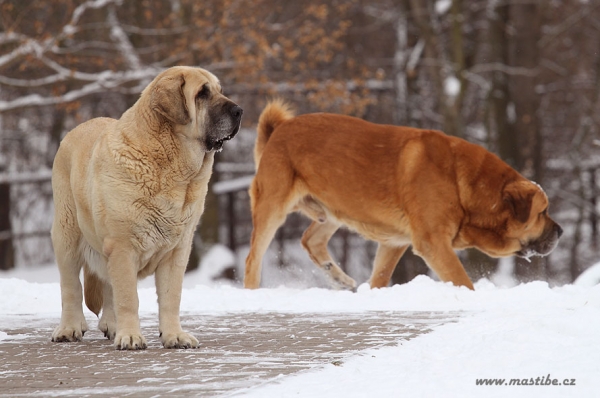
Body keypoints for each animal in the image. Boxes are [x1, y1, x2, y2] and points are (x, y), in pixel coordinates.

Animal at [51, 67, 243, 350]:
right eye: (202, 93)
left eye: (219, 90)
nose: (239, 110)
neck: (172, 169)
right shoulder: (122, 247)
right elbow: (128, 298)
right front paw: (131, 336)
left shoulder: (176, 252)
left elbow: (171, 297)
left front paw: (174, 335)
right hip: (67, 236)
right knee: (70, 287)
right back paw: (70, 328)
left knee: (106, 286)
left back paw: (111, 324)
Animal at [241, 101, 560, 290]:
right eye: (542, 212)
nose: (561, 231)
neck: (463, 183)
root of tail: (278, 129)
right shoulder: (433, 243)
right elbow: (462, 280)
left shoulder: (394, 243)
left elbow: (380, 277)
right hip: (272, 208)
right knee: (252, 259)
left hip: (333, 210)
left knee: (310, 240)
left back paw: (339, 277)